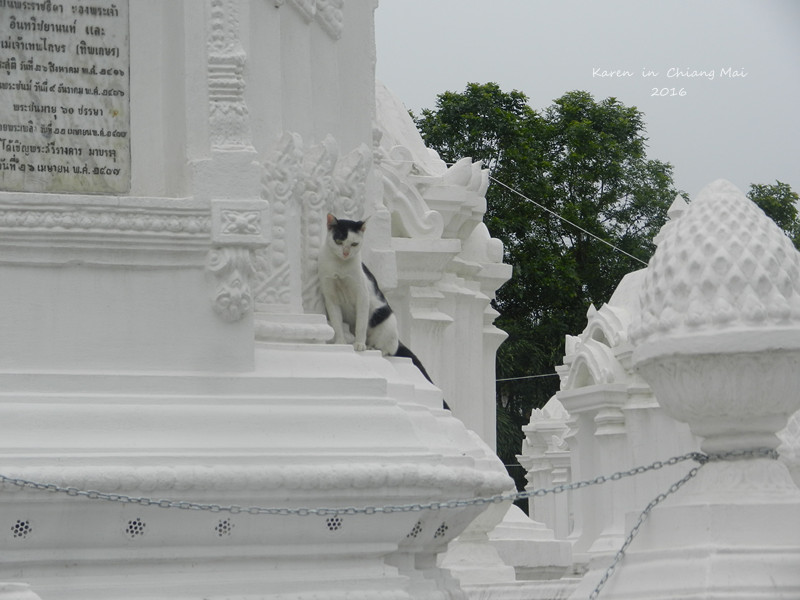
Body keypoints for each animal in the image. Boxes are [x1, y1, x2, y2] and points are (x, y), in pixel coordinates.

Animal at [318, 214, 440, 394]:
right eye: (339, 241)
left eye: (354, 244)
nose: (346, 253)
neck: (340, 268)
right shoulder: (330, 297)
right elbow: (336, 322)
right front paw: (340, 341)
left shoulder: (363, 296)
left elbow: (361, 324)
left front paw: (359, 344)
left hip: (387, 323)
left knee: (389, 350)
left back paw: (370, 347)